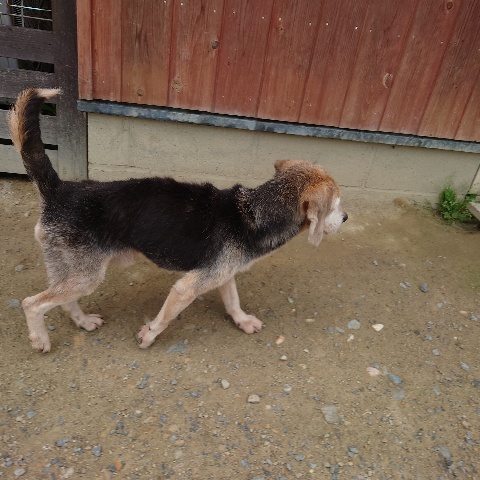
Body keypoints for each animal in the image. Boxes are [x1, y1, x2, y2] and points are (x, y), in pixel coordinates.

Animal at [8, 88, 347, 352]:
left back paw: (83, 322)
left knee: (62, 300)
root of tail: (59, 189)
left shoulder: (222, 273)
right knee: (32, 303)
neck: (254, 212)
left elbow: (233, 300)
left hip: (74, 272)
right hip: (86, 275)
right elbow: (166, 317)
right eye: (336, 202)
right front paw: (149, 335)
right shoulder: (187, 287)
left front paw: (242, 321)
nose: (345, 218)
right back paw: (40, 339)